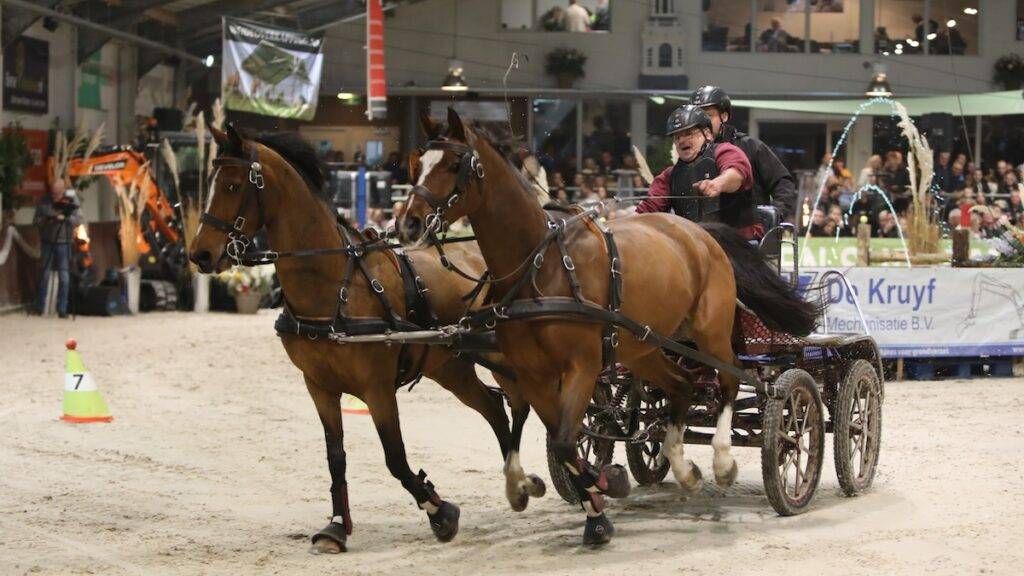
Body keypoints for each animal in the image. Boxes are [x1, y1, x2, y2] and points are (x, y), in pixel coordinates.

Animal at [188, 124, 545, 553]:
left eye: (233, 184)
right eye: (210, 181)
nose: (199, 254)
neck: (334, 286)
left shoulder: (377, 388)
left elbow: (395, 458)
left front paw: (441, 511)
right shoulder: (319, 386)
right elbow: (335, 457)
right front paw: (337, 526)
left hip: (509, 357)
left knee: (529, 403)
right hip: (449, 366)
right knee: (494, 407)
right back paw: (519, 483)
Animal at [398, 109, 818, 546]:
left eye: (453, 164)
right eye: (417, 163)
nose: (407, 224)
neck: (541, 268)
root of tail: (702, 234)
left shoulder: (581, 367)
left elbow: (566, 442)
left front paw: (604, 492)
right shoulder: (533, 375)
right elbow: (561, 439)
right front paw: (591, 501)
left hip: (712, 332)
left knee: (731, 381)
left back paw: (722, 460)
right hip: (644, 347)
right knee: (682, 385)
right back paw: (683, 468)